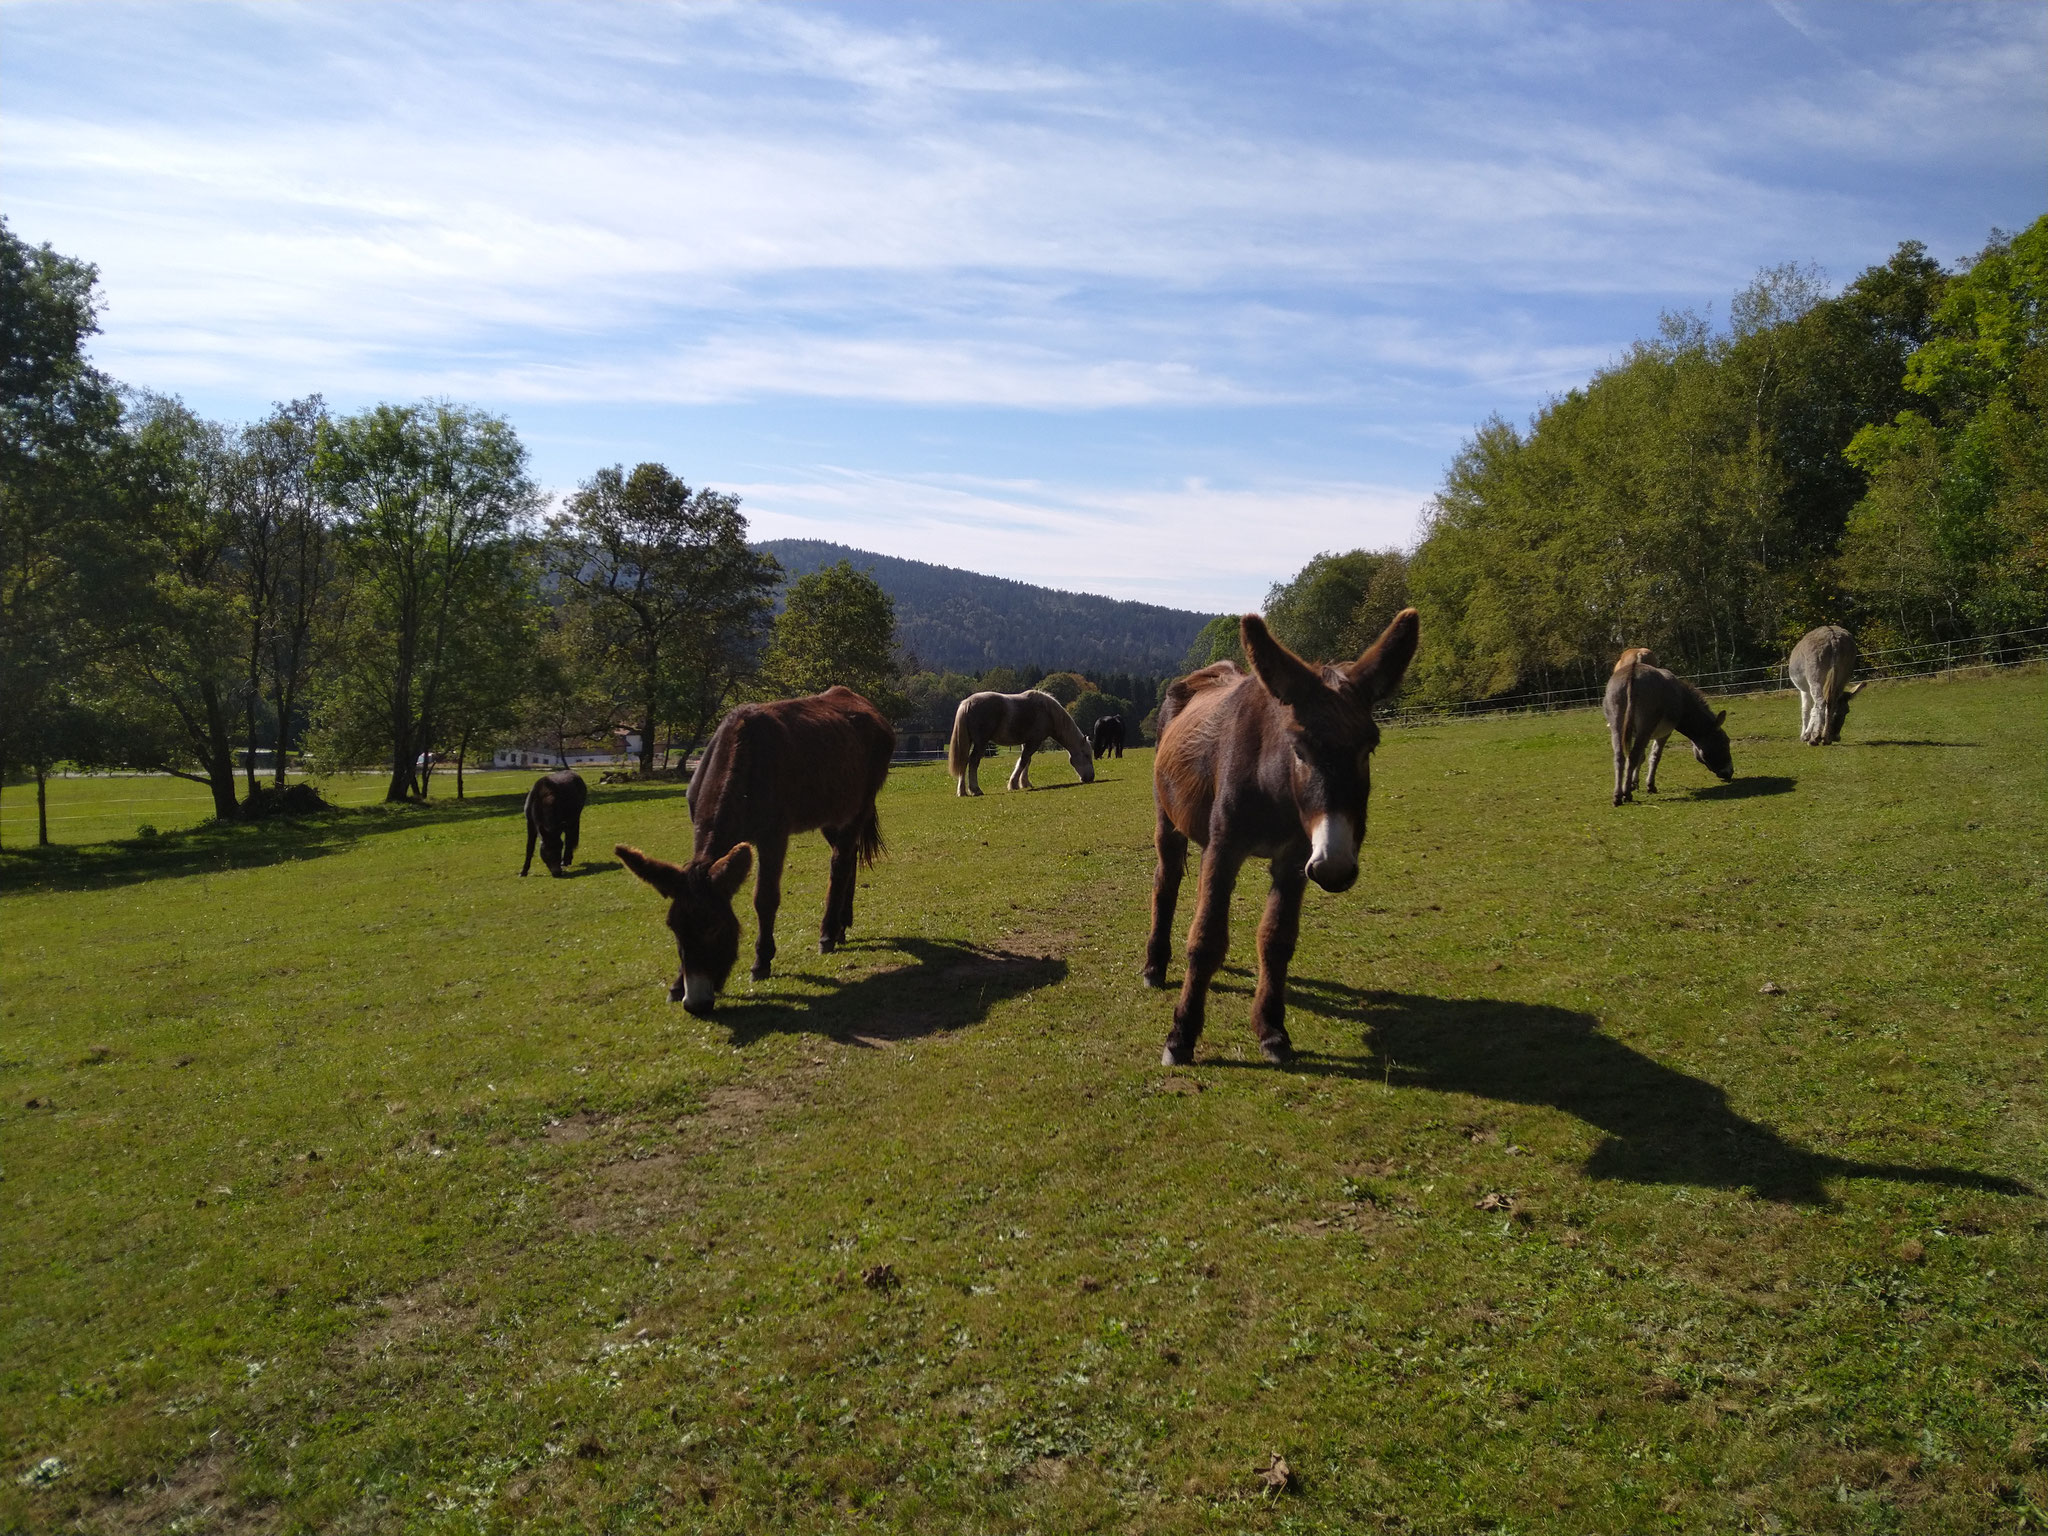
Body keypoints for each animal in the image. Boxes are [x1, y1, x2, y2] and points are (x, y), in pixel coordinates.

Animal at [610, 692, 892, 1015]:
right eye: (674, 928)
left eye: (715, 928)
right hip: (832, 812)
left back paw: (827, 934)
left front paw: (761, 962)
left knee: (841, 862)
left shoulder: (773, 837)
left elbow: (765, 899)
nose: (696, 1004)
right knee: (846, 857)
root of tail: (856, 698)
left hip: (859, 805)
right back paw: (841, 925)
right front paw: (676, 985)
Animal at [946, 696, 1097, 798]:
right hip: (980, 743)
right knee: (973, 762)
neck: (1047, 711)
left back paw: (962, 791)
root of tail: (968, 703)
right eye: (1087, 755)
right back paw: (975, 789)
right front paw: (1013, 784)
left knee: (963, 762)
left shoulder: (1027, 742)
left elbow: (1026, 761)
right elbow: (1024, 761)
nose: (1090, 777)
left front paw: (1024, 783)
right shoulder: (1034, 741)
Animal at [1146, 606, 1417, 1064]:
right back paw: (1154, 965)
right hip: (1168, 818)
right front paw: (1181, 1035)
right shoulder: (1225, 848)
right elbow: (1206, 939)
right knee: (1166, 884)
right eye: (1299, 750)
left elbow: (1276, 939)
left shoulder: (1294, 859)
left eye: (1370, 748)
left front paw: (1272, 1030)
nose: (1335, 867)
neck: (1272, 784)